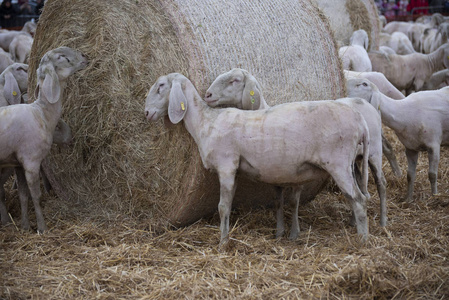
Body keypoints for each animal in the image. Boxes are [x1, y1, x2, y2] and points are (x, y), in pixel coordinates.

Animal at [0, 47, 87, 232]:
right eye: (61, 57)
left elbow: (23, 195)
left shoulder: (17, 163)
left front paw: (25, 226)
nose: (85, 56)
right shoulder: (31, 161)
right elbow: (36, 196)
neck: (40, 112)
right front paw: (42, 228)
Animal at [145, 72, 370, 246]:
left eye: (161, 86)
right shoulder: (235, 170)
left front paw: (222, 243)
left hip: (339, 162)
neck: (206, 121)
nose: (146, 113)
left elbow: (222, 207)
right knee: (357, 196)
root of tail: (360, 121)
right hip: (348, 164)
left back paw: (363, 241)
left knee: (358, 200)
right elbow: (229, 204)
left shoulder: (226, 165)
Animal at [205, 68, 386, 237]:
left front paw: (293, 233)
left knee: (378, 184)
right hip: (352, 162)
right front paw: (279, 232)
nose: (207, 94)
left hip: (370, 153)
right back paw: (353, 222)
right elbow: (278, 201)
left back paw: (379, 225)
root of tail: (360, 115)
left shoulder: (297, 175)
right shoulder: (275, 174)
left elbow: (294, 202)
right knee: (358, 188)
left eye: (234, 80)